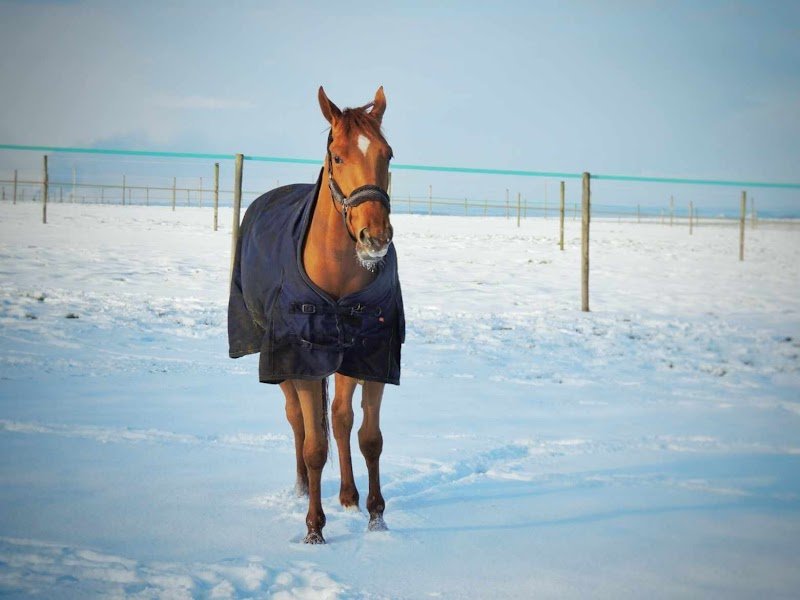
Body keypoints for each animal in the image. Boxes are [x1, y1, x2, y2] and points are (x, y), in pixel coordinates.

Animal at [228, 86, 404, 544]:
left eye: (388, 154)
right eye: (338, 157)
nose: (375, 238)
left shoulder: (371, 356)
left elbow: (368, 437)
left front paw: (376, 518)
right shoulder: (301, 359)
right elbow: (314, 446)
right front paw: (314, 529)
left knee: (340, 419)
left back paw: (347, 495)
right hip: (281, 364)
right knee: (297, 422)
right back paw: (302, 487)